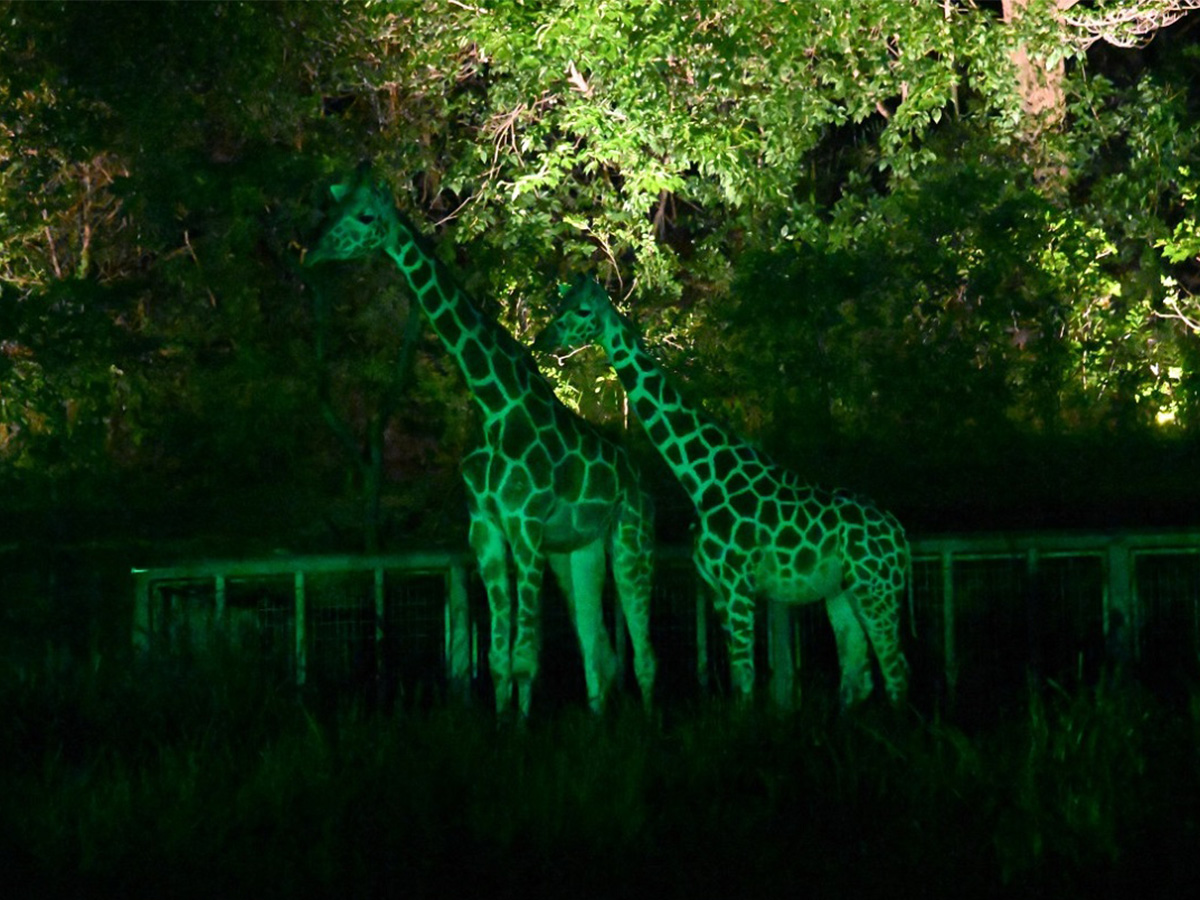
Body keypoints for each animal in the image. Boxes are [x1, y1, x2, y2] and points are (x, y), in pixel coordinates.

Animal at [300, 174, 657, 720]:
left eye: (364, 216)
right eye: (334, 208)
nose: (312, 250)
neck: (495, 406)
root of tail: (636, 473)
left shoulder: (526, 528)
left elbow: (526, 657)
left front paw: (521, 728)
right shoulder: (486, 528)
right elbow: (496, 660)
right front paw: (502, 727)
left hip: (629, 538)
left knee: (642, 652)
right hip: (577, 549)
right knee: (598, 650)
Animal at [535, 277, 907, 710]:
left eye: (581, 311)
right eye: (561, 303)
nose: (543, 338)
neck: (703, 480)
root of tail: (901, 537)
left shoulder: (737, 584)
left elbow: (746, 680)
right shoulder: (716, 588)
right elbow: (736, 678)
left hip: (878, 591)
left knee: (896, 673)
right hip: (843, 593)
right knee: (858, 676)